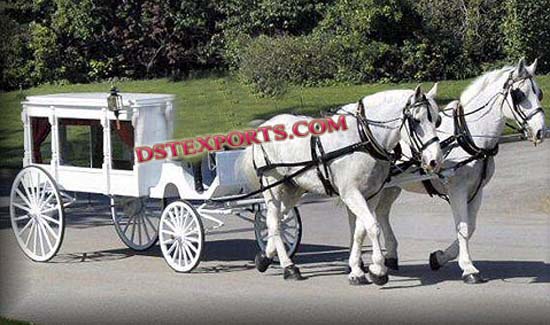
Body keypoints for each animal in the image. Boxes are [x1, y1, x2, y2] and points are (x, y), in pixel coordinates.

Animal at [240, 84, 444, 284]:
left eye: (438, 121)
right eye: (416, 120)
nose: (435, 160)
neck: (361, 138)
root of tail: (263, 126)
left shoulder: (371, 194)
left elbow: (360, 231)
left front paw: (356, 270)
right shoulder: (351, 193)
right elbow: (373, 227)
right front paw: (378, 270)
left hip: (293, 187)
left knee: (279, 219)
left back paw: (265, 257)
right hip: (273, 185)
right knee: (273, 221)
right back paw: (288, 267)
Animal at [350, 58, 548, 284]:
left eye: (539, 93)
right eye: (519, 95)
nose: (541, 131)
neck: (467, 133)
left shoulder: (476, 191)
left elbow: (470, 226)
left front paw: (440, 257)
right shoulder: (457, 190)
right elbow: (463, 228)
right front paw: (469, 268)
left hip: (390, 187)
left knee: (381, 213)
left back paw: (388, 257)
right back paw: (363, 264)